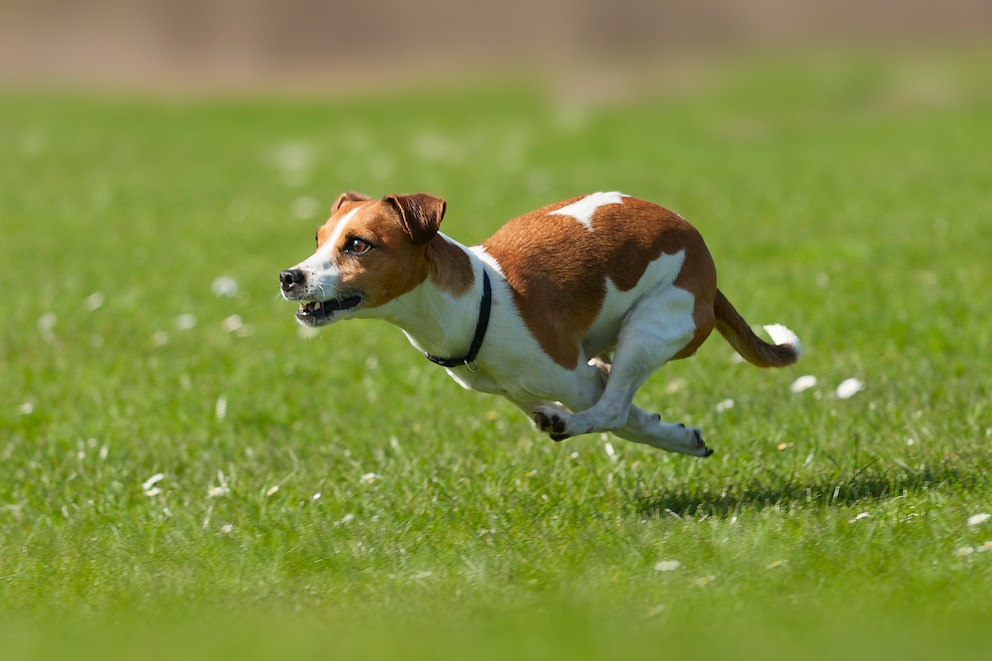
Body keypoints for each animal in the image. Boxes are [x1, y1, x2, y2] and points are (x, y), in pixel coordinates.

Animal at [278, 191, 800, 456]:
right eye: (319, 239)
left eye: (358, 244)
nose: (289, 276)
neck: (477, 301)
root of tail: (708, 275)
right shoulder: (524, 387)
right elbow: (629, 418)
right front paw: (675, 435)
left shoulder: (578, 380)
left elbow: (618, 413)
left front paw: (668, 435)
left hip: (648, 328)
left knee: (611, 410)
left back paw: (568, 421)